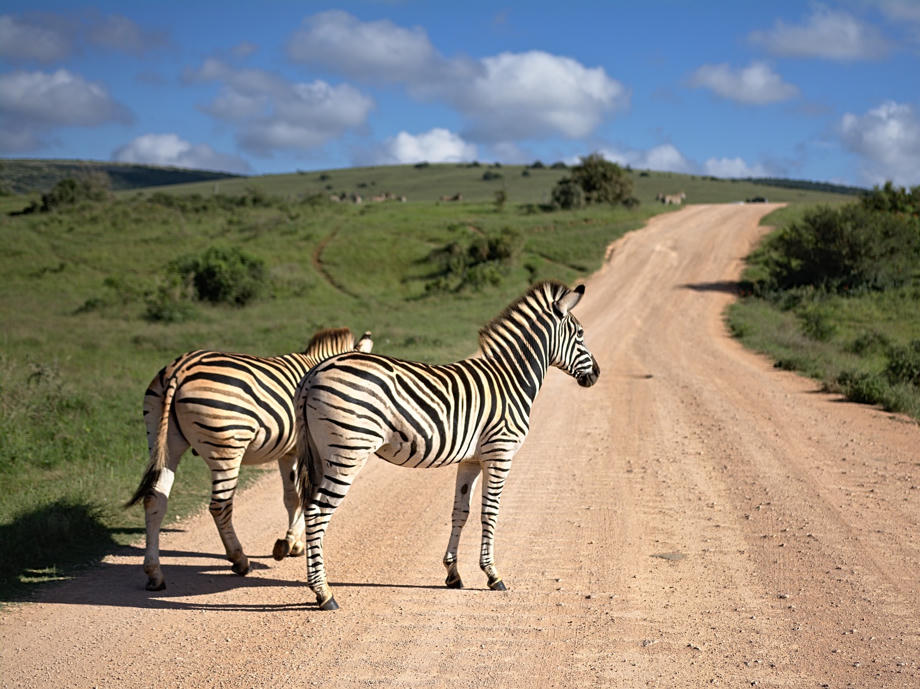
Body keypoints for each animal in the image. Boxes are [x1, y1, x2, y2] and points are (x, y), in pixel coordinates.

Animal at [126, 327, 373, 591]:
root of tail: (180, 369)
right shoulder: (305, 450)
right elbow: (304, 497)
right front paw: (290, 542)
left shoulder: (289, 451)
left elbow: (292, 497)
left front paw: (292, 543)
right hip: (226, 447)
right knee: (220, 506)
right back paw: (239, 559)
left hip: (163, 440)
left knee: (154, 500)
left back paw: (154, 573)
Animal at [294, 281, 599, 609]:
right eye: (580, 334)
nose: (596, 374)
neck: (511, 379)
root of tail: (314, 372)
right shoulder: (500, 453)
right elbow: (490, 511)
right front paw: (493, 575)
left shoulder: (471, 459)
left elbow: (460, 511)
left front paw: (453, 574)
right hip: (348, 452)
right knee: (317, 512)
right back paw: (324, 593)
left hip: (322, 454)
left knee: (310, 508)